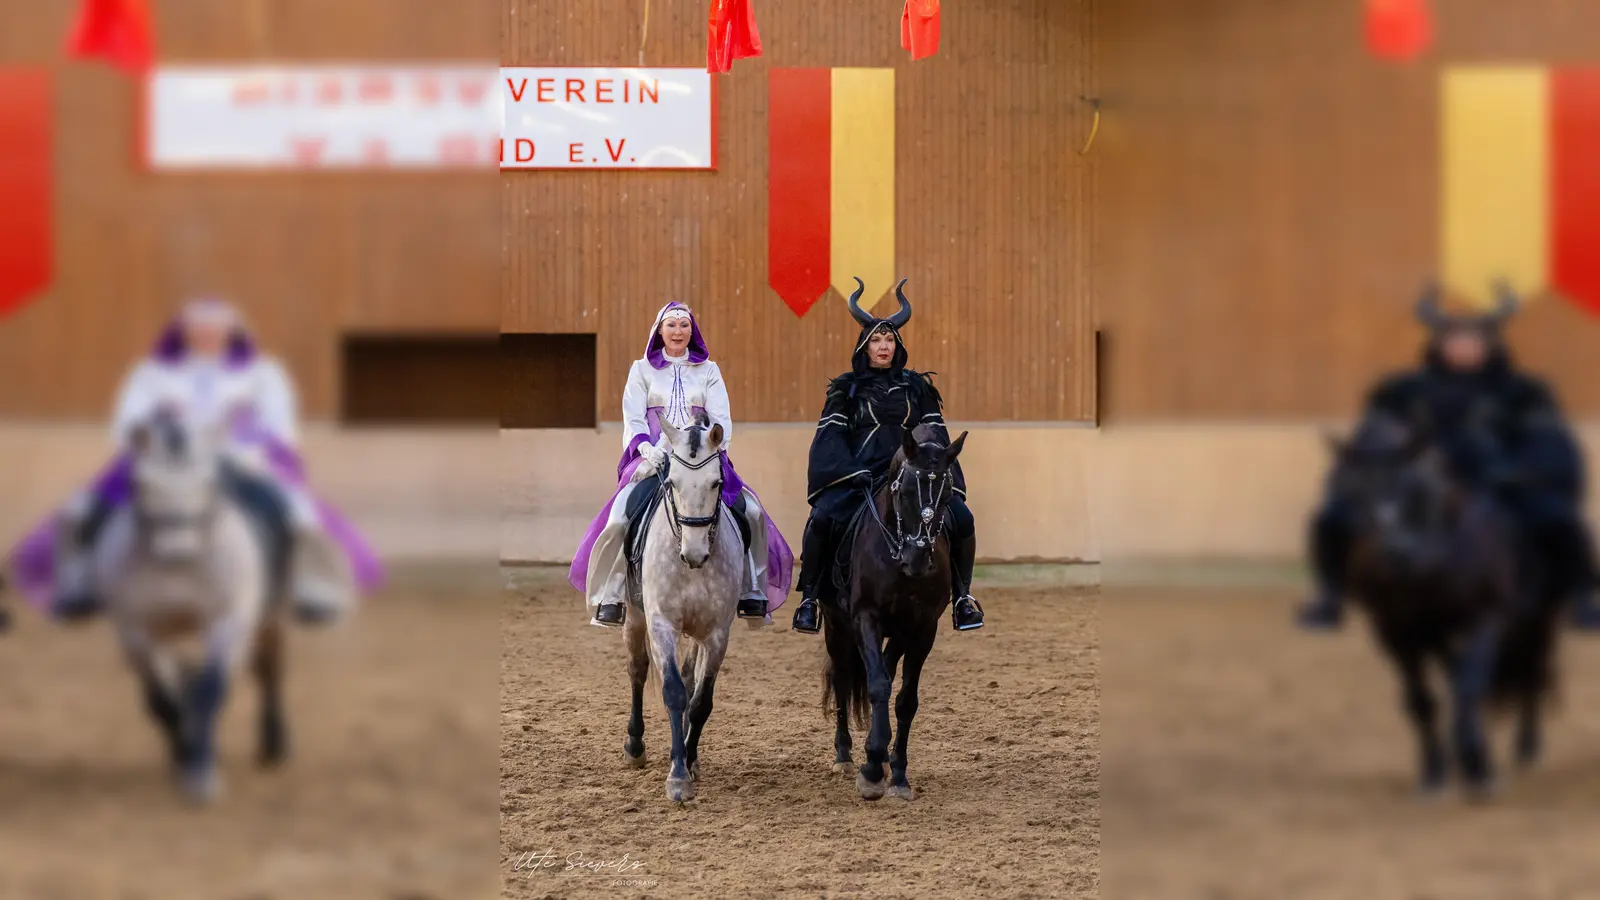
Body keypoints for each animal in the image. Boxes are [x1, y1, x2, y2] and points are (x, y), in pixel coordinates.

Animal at [81, 409, 289, 800]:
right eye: (141, 483)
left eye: (209, 482)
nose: (176, 551)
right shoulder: (137, 631)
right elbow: (163, 700)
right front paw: (184, 754)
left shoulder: (229, 620)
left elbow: (210, 691)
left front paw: (202, 774)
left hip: (269, 615)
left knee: (269, 670)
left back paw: (276, 747)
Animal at [825, 422, 960, 794]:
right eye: (904, 492)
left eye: (946, 496)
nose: (918, 560)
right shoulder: (864, 617)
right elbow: (877, 686)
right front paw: (871, 768)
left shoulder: (922, 627)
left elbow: (905, 699)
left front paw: (897, 771)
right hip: (835, 626)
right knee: (842, 677)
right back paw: (844, 754)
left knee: (884, 666)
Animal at [1324, 413, 1561, 791]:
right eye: (1353, 490)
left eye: (1413, 489)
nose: (1395, 554)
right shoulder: (1396, 632)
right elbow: (1422, 700)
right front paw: (1435, 770)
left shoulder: (1484, 619)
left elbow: (1470, 688)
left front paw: (1479, 769)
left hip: (1538, 619)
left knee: (1531, 671)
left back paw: (1527, 745)